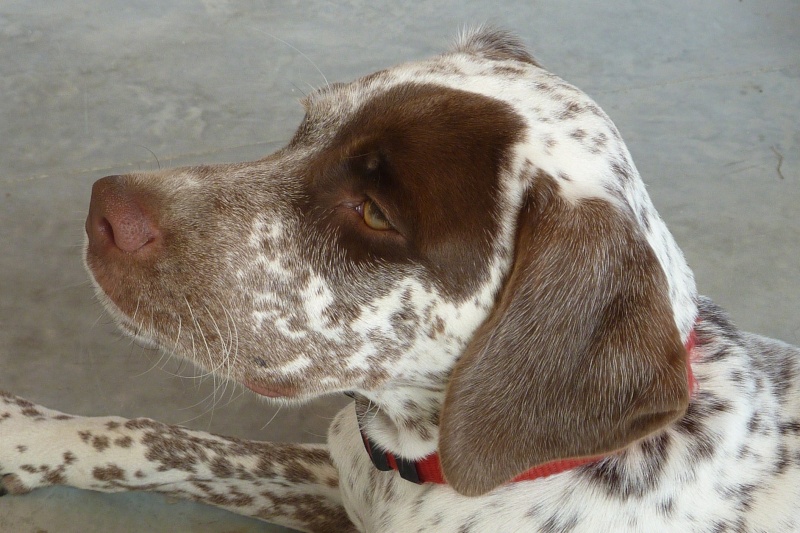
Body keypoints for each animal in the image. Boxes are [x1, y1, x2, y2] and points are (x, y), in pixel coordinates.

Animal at [1, 27, 798, 532]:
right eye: (306, 130)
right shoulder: (341, 471)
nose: (104, 210)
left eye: (376, 212)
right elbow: (165, 439)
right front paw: (25, 436)